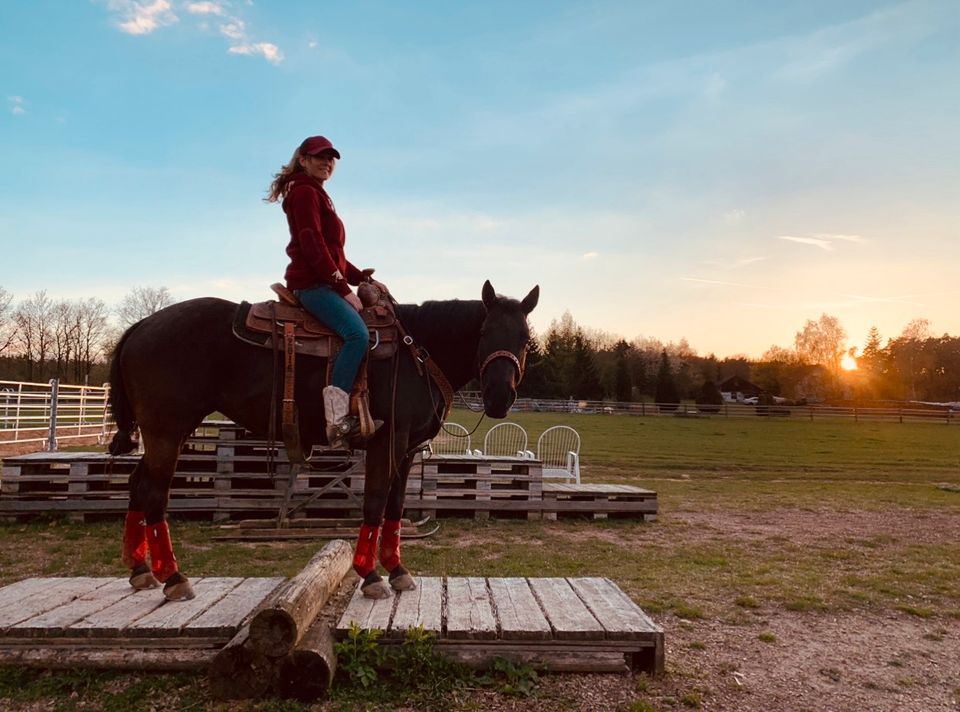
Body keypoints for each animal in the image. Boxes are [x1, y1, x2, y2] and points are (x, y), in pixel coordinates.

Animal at [110, 280, 540, 596]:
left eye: (525, 337)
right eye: (483, 331)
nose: (499, 397)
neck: (416, 353)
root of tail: (142, 326)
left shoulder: (408, 449)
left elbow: (395, 507)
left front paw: (397, 570)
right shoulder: (387, 442)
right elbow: (374, 503)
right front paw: (370, 575)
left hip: (166, 433)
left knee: (137, 485)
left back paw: (140, 570)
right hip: (167, 429)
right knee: (155, 493)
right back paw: (173, 578)